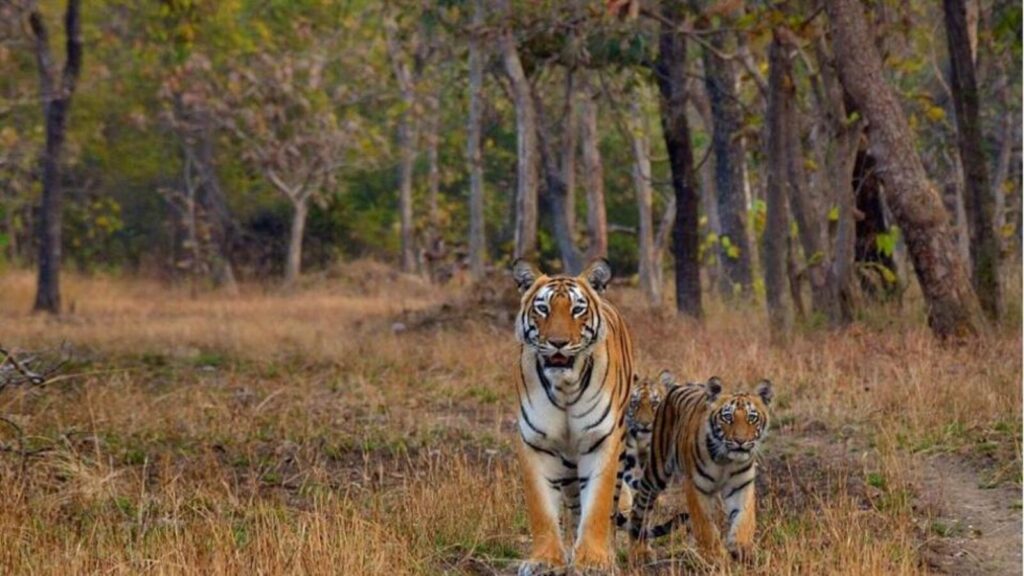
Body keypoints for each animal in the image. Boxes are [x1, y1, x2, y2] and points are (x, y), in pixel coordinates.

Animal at [511, 258, 635, 575]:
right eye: (542, 308)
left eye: (577, 309)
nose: (558, 342)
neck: (565, 387)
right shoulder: (536, 444)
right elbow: (542, 510)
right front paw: (545, 560)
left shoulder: (602, 441)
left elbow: (598, 505)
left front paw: (593, 560)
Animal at [624, 374, 773, 564]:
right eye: (727, 417)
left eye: (752, 418)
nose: (740, 441)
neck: (726, 459)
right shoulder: (696, 486)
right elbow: (705, 525)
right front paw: (715, 556)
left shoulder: (741, 486)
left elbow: (744, 519)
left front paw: (742, 548)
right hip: (656, 471)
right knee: (641, 504)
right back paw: (640, 551)